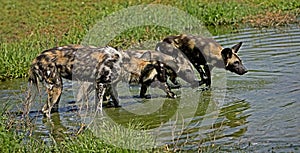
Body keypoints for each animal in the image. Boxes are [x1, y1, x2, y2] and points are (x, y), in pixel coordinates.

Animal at [27, 45, 178, 117]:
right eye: (161, 78)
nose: (173, 93)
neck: (124, 63)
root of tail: (36, 59)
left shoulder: (111, 86)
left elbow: (117, 102)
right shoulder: (100, 85)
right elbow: (99, 108)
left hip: (57, 91)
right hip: (56, 88)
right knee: (45, 111)